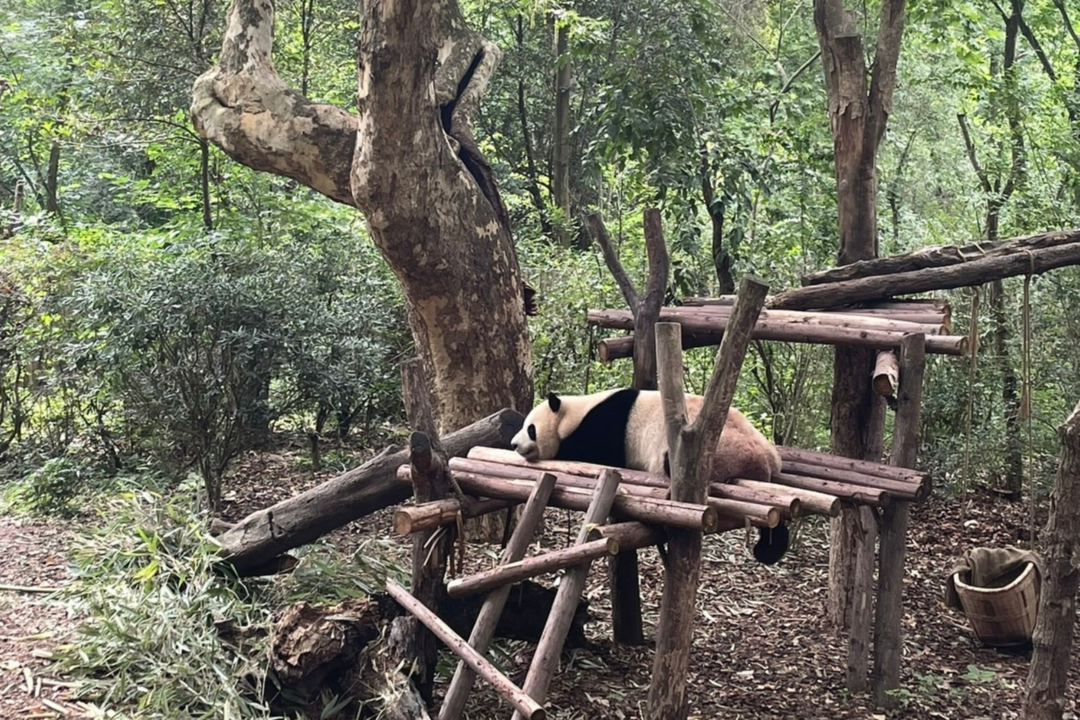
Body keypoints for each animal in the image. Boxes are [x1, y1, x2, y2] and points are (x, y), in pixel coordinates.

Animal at [509, 388, 790, 561]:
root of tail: (767, 460)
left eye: (530, 429)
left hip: (720, 449)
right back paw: (771, 548)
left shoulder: (605, 427)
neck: (576, 411)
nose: (513, 444)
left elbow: (593, 451)